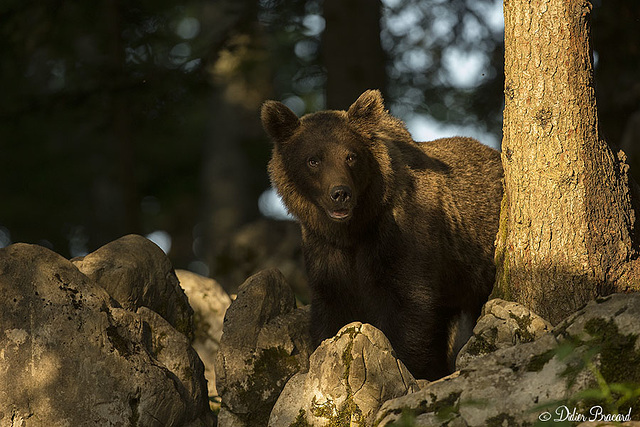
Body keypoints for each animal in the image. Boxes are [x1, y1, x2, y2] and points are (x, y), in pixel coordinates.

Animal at [262, 90, 502, 382]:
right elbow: (332, 310)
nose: (340, 193)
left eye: (350, 156)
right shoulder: (325, 251)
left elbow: (407, 307)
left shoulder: (401, 238)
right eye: (313, 159)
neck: (354, 230)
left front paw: (407, 366)